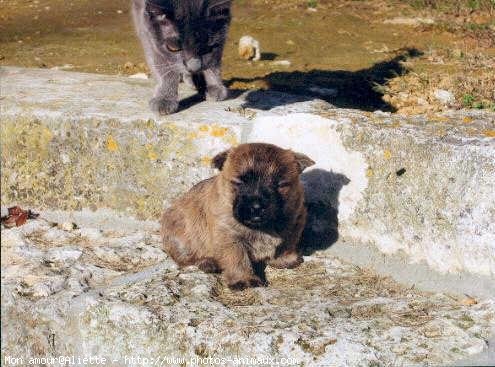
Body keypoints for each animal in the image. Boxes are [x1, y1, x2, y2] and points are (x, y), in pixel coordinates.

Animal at [161, 144, 316, 290]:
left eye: (280, 184)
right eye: (239, 182)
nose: (256, 206)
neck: (261, 227)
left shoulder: (295, 221)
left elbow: (287, 244)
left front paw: (284, 260)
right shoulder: (229, 236)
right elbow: (237, 258)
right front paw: (244, 279)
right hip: (181, 240)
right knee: (187, 258)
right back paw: (207, 262)